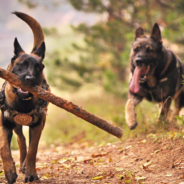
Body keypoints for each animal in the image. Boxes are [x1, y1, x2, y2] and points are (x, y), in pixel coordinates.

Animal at [0, 12, 49, 183]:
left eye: (38, 67)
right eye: (21, 64)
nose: (30, 79)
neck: (22, 102)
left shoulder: (37, 126)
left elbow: (33, 150)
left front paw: (31, 173)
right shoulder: (4, 125)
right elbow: (4, 147)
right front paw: (9, 171)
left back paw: (24, 166)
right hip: (15, 125)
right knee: (20, 139)